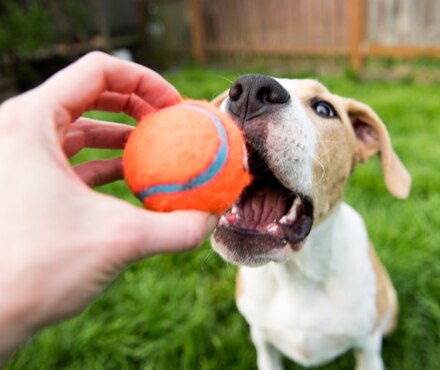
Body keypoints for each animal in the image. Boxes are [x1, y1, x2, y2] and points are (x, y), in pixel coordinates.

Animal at [210, 74, 410, 370]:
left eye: (325, 109)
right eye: (226, 95)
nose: (249, 91)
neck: (297, 274)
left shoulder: (368, 348)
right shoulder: (263, 341)